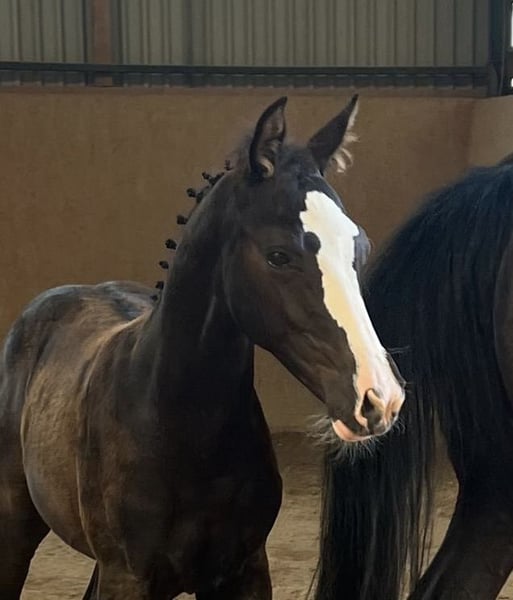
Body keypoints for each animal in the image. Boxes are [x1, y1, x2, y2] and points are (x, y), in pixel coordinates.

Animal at [0, 95, 405, 599]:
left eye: (359, 248)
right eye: (278, 255)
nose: (379, 399)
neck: (176, 426)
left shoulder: (245, 571)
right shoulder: (127, 576)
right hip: (15, 526)